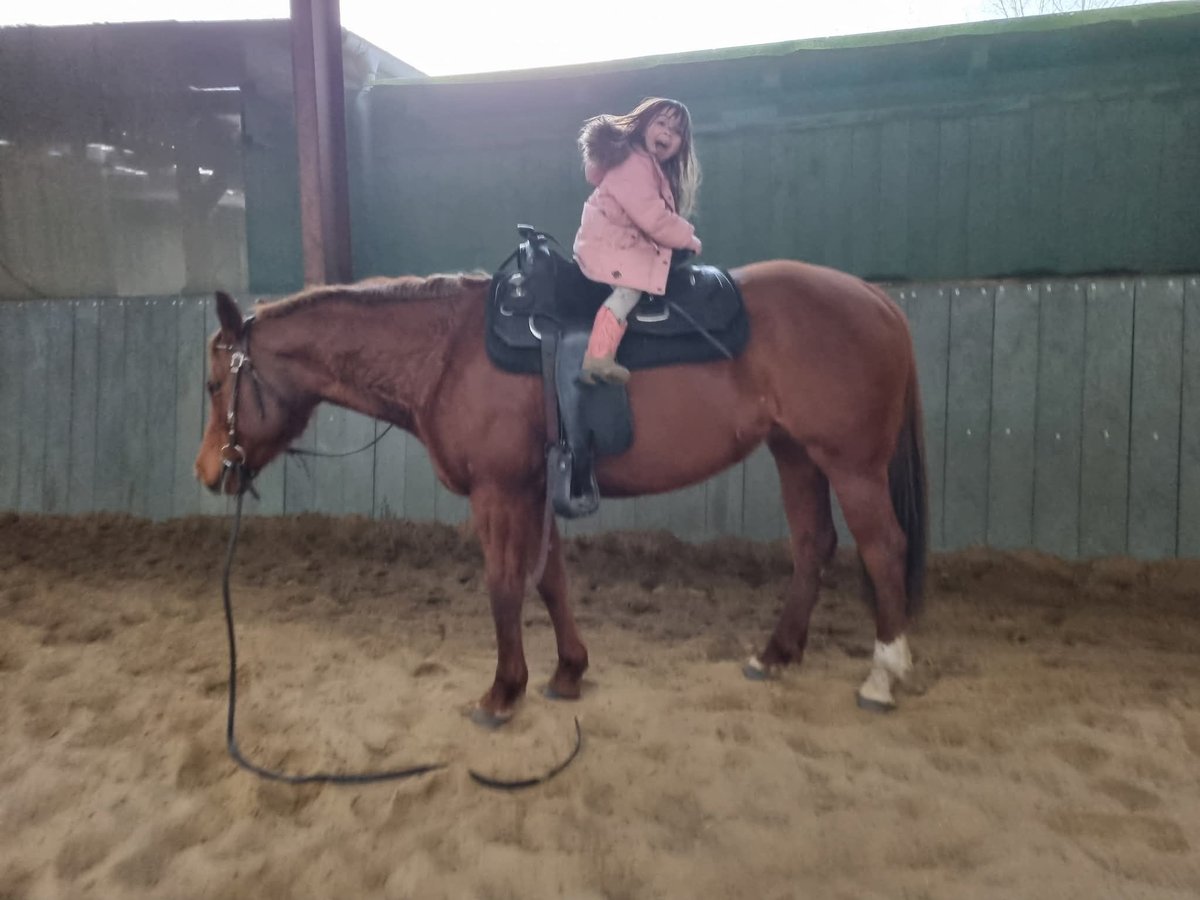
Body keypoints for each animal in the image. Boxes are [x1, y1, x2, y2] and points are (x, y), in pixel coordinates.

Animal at [195, 259, 927, 725]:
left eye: (212, 383)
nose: (207, 471)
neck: (447, 352)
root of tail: (877, 300)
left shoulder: (497, 493)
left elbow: (504, 585)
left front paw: (502, 691)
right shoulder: (535, 491)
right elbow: (551, 582)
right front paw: (567, 671)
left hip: (851, 465)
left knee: (884, 549)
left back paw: (883, 676)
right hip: (796, 454)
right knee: (814, 544)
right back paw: (775, 654)